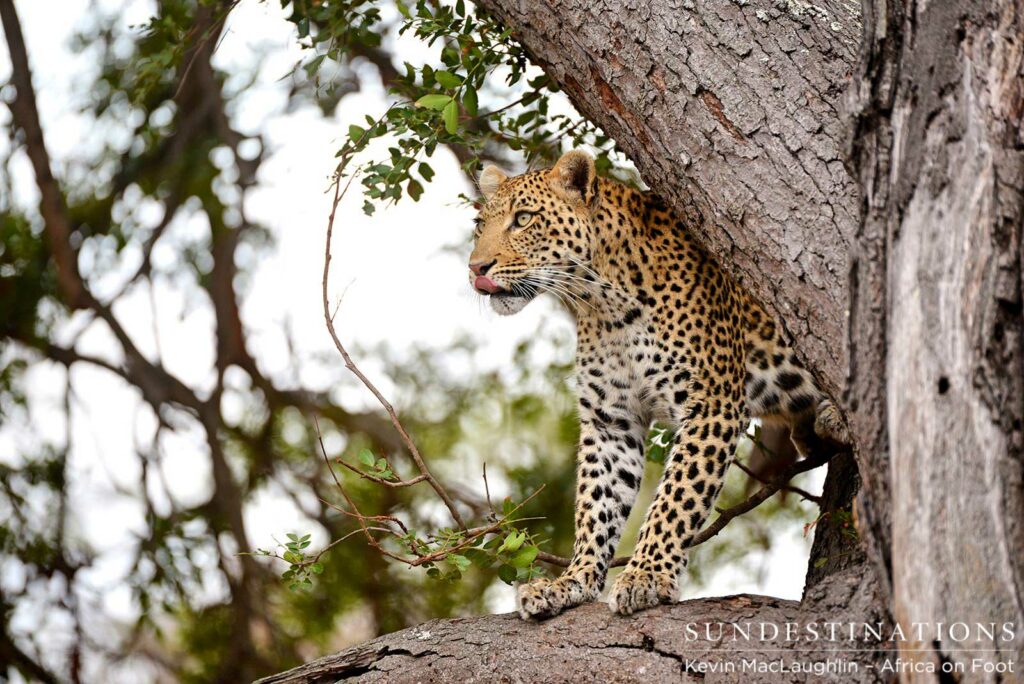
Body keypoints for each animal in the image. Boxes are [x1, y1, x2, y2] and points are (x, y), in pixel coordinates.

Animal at [467, 150, 850, 619]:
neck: (603, 301)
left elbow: (677, 495)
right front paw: (572, 581)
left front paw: (646, 574)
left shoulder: (712, 404)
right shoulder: (611, 420)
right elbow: (596, 505)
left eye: (523, 219)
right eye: (480, 225)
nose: (475, 268)